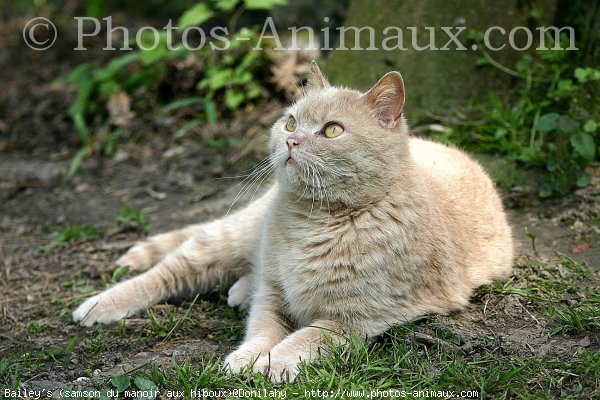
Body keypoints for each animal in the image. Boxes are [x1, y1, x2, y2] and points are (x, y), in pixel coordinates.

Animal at [72, 61, 512, 382]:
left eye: (332, 130)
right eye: (290, 122)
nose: (290, 141)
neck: (317, 222)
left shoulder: (355, 318)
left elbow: (302, 338)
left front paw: (272, 364)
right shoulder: (273, 298)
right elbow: (263, 330)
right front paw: (247, 359)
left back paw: (238, 291)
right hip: (228, 236)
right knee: (167, 271)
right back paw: (100, 304)